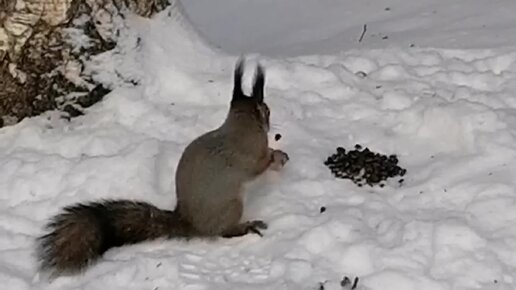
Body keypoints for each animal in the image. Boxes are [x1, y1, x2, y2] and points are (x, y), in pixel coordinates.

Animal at [35, 57, 290, 278]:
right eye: (266, 110)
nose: (270, 123)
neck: (240, 124)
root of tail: (188, 223)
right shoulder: (249, 155)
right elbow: (258, 165)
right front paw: (277, 156)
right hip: (232, 206)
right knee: (221, 232)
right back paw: (246, 227)